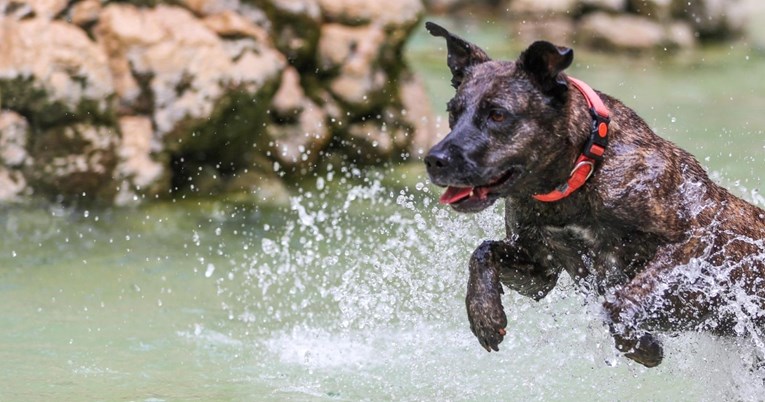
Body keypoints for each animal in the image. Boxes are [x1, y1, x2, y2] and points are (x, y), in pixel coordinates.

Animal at [420, 22, 764, 368]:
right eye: (453, 113)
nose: (434, 160)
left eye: (498, 115)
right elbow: (482, 251)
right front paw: (484, 314)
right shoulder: (540, 271)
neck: (580, 173)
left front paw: (641, 346)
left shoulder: (690, 240)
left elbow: (618, 303)